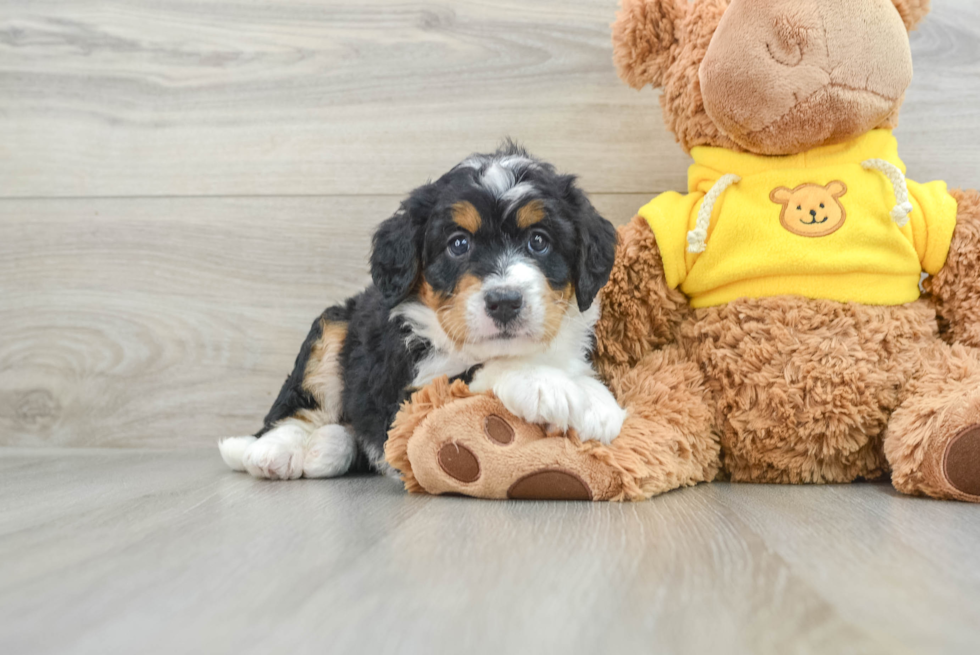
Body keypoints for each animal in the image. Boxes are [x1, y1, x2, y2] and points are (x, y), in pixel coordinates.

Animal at [218, 146, 624, 480]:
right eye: (458, 244)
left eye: (539, 241)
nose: (505, 302)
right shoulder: (405, 399)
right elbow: (472, 371)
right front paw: (547, 384)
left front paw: (597, 401)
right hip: (333, 326)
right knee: (295, 407)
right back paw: (272, 451)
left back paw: (326, 447)